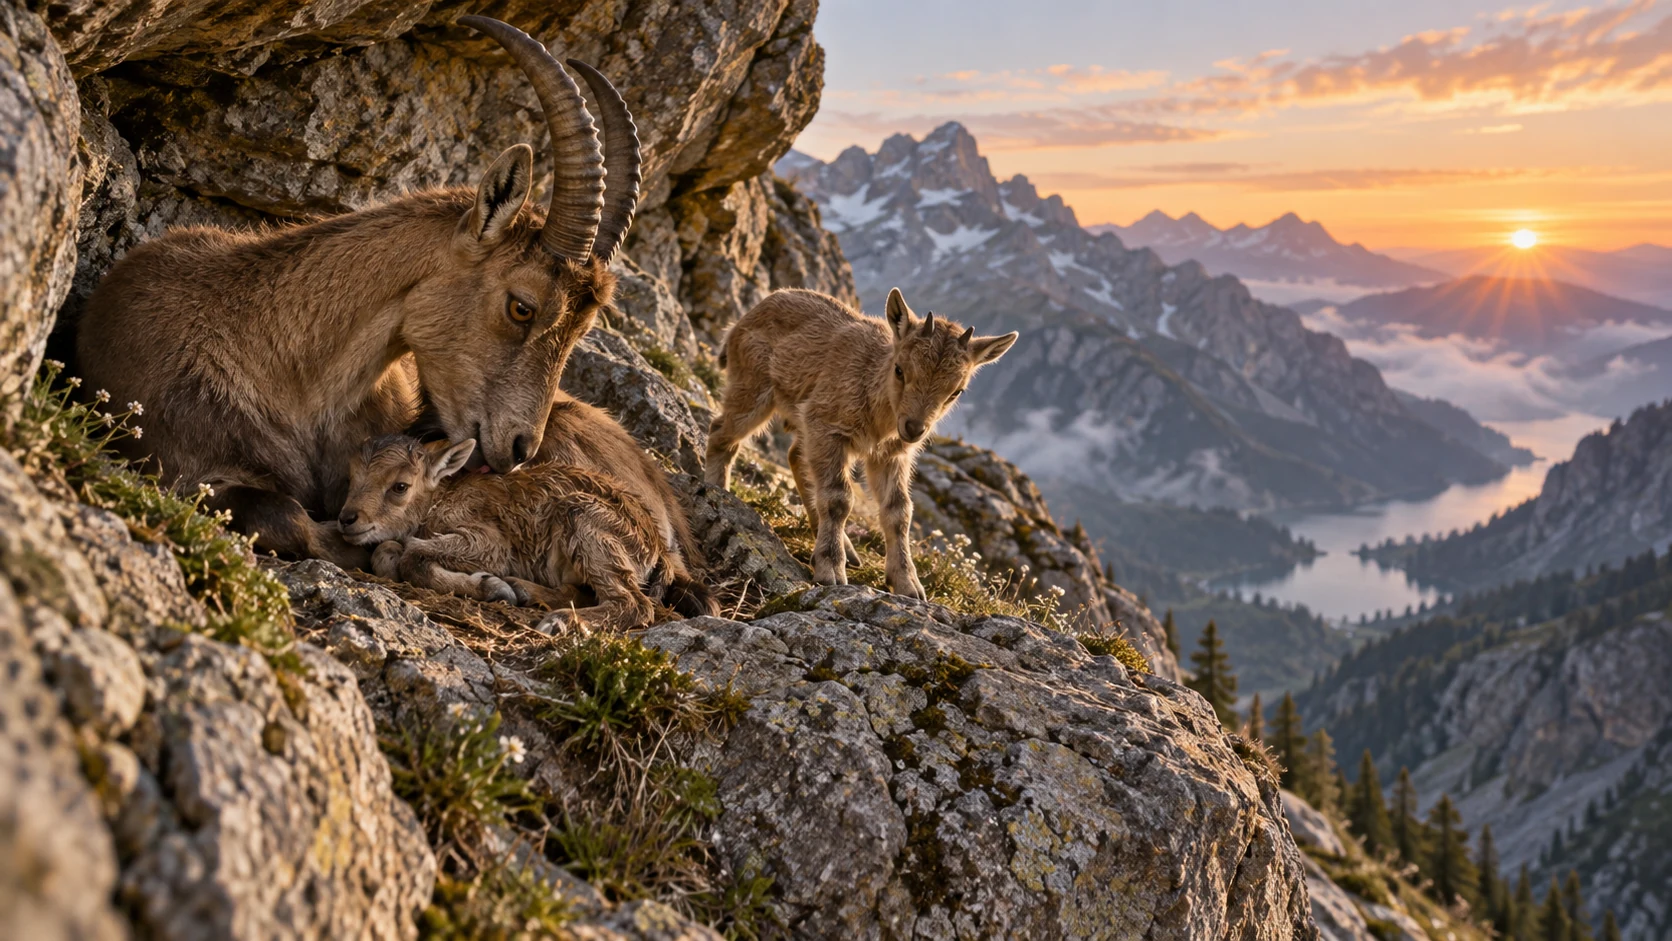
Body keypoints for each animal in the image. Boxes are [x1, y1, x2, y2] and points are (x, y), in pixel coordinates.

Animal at [76, 17, 657, 571]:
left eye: (583, 328)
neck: (286, 362)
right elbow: (286, 515)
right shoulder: (183, 466)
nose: (519, 448)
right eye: (522, 305)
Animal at [341, 434, 714, 632]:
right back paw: (526, 591)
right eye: (351, 477)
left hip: (587, 522)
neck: (439, 501)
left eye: (400, 486)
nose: (347, 518)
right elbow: (386, 552)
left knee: (634, 604)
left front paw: (492, 586)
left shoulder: (488, 542)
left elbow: (413, 555)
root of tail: (657, 550)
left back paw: (556, 620)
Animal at [704, 288, 1017, 597]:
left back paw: (843, 546)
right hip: (753, 388)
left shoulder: (890, 455)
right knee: (722, 433)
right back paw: (718, 492)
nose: (914, 428)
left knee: (795, 456)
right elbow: (838, 498)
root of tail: (743, 320)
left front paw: (908, 584)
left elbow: (899, 511)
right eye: (900, 370)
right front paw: (831, 571)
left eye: (956, 391)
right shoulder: (829, 429)